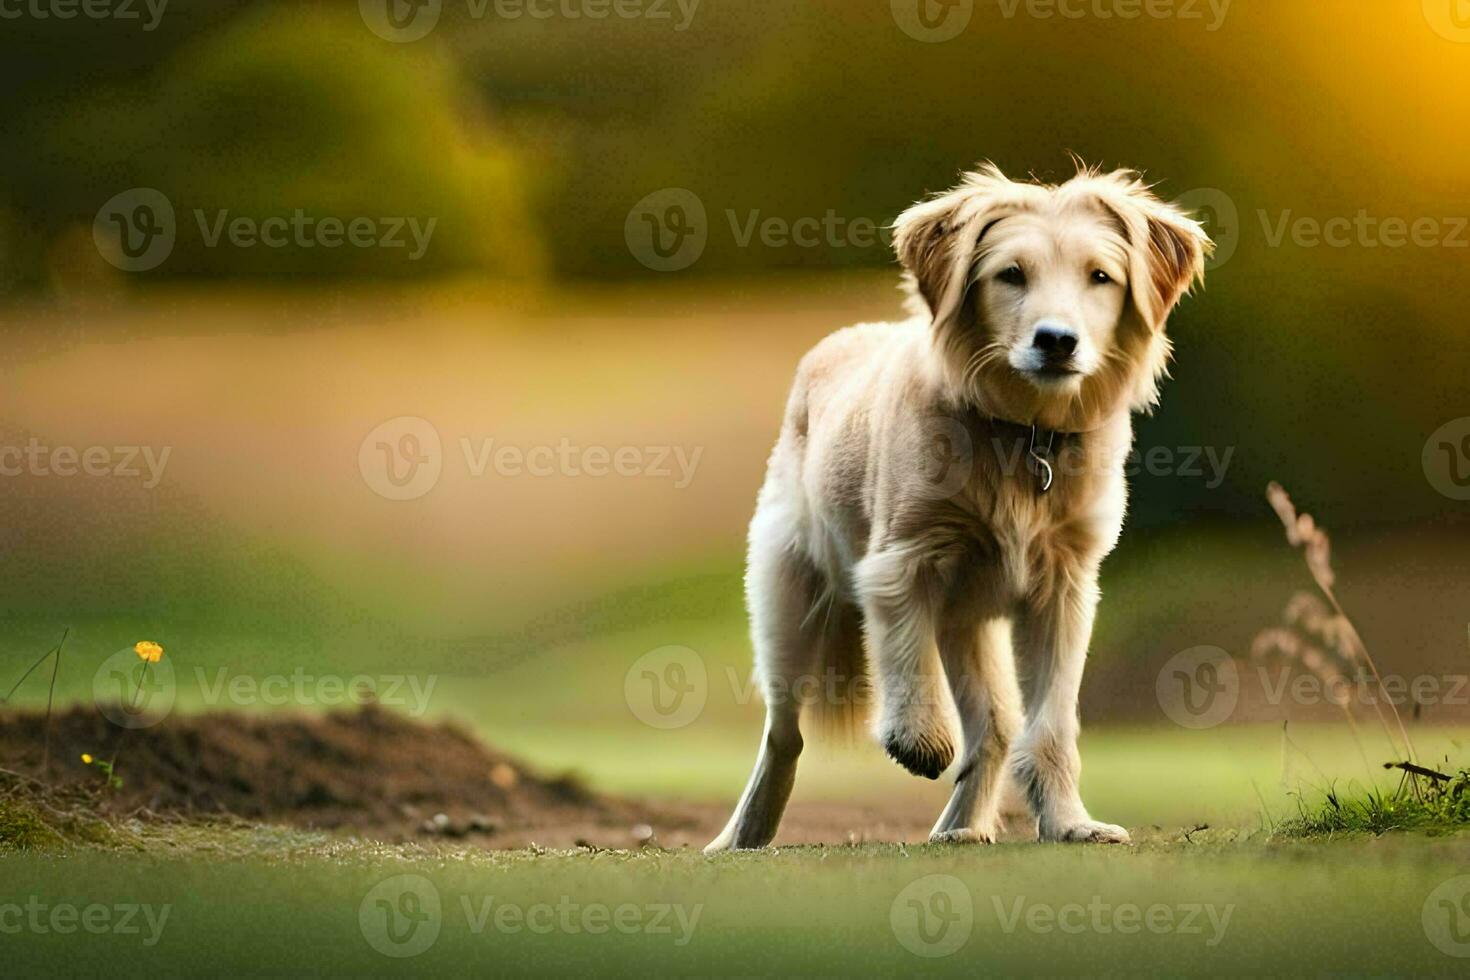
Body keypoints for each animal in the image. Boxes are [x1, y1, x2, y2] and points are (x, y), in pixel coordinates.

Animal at [708, 163, 1205, 852]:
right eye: (1011, 274)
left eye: (1100, 277)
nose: (1057, 341)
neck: (1024, 435)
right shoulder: (902, 561)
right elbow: (906, 660)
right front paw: (919, 738)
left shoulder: (1066, 588)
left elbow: (1051, 723)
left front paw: (1069, 822)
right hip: (786, 596)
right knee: (783, 732)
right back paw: (743, 834)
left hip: (967, 622)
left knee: (994, 727)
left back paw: (960, 827)